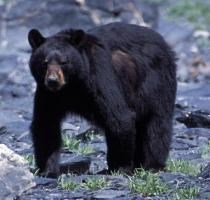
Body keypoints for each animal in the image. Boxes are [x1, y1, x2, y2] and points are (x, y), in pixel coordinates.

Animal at [27, 21, 176, 177]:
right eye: (44, 62)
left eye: (64, 62)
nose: (53, 81)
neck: (72, 86)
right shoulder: (48, 94)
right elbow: (46, 125)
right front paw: (47, 170)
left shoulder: (100, 75)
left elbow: (118, 118)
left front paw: (120, 167)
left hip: (156, 83)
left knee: (157, 125)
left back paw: (152, 165)